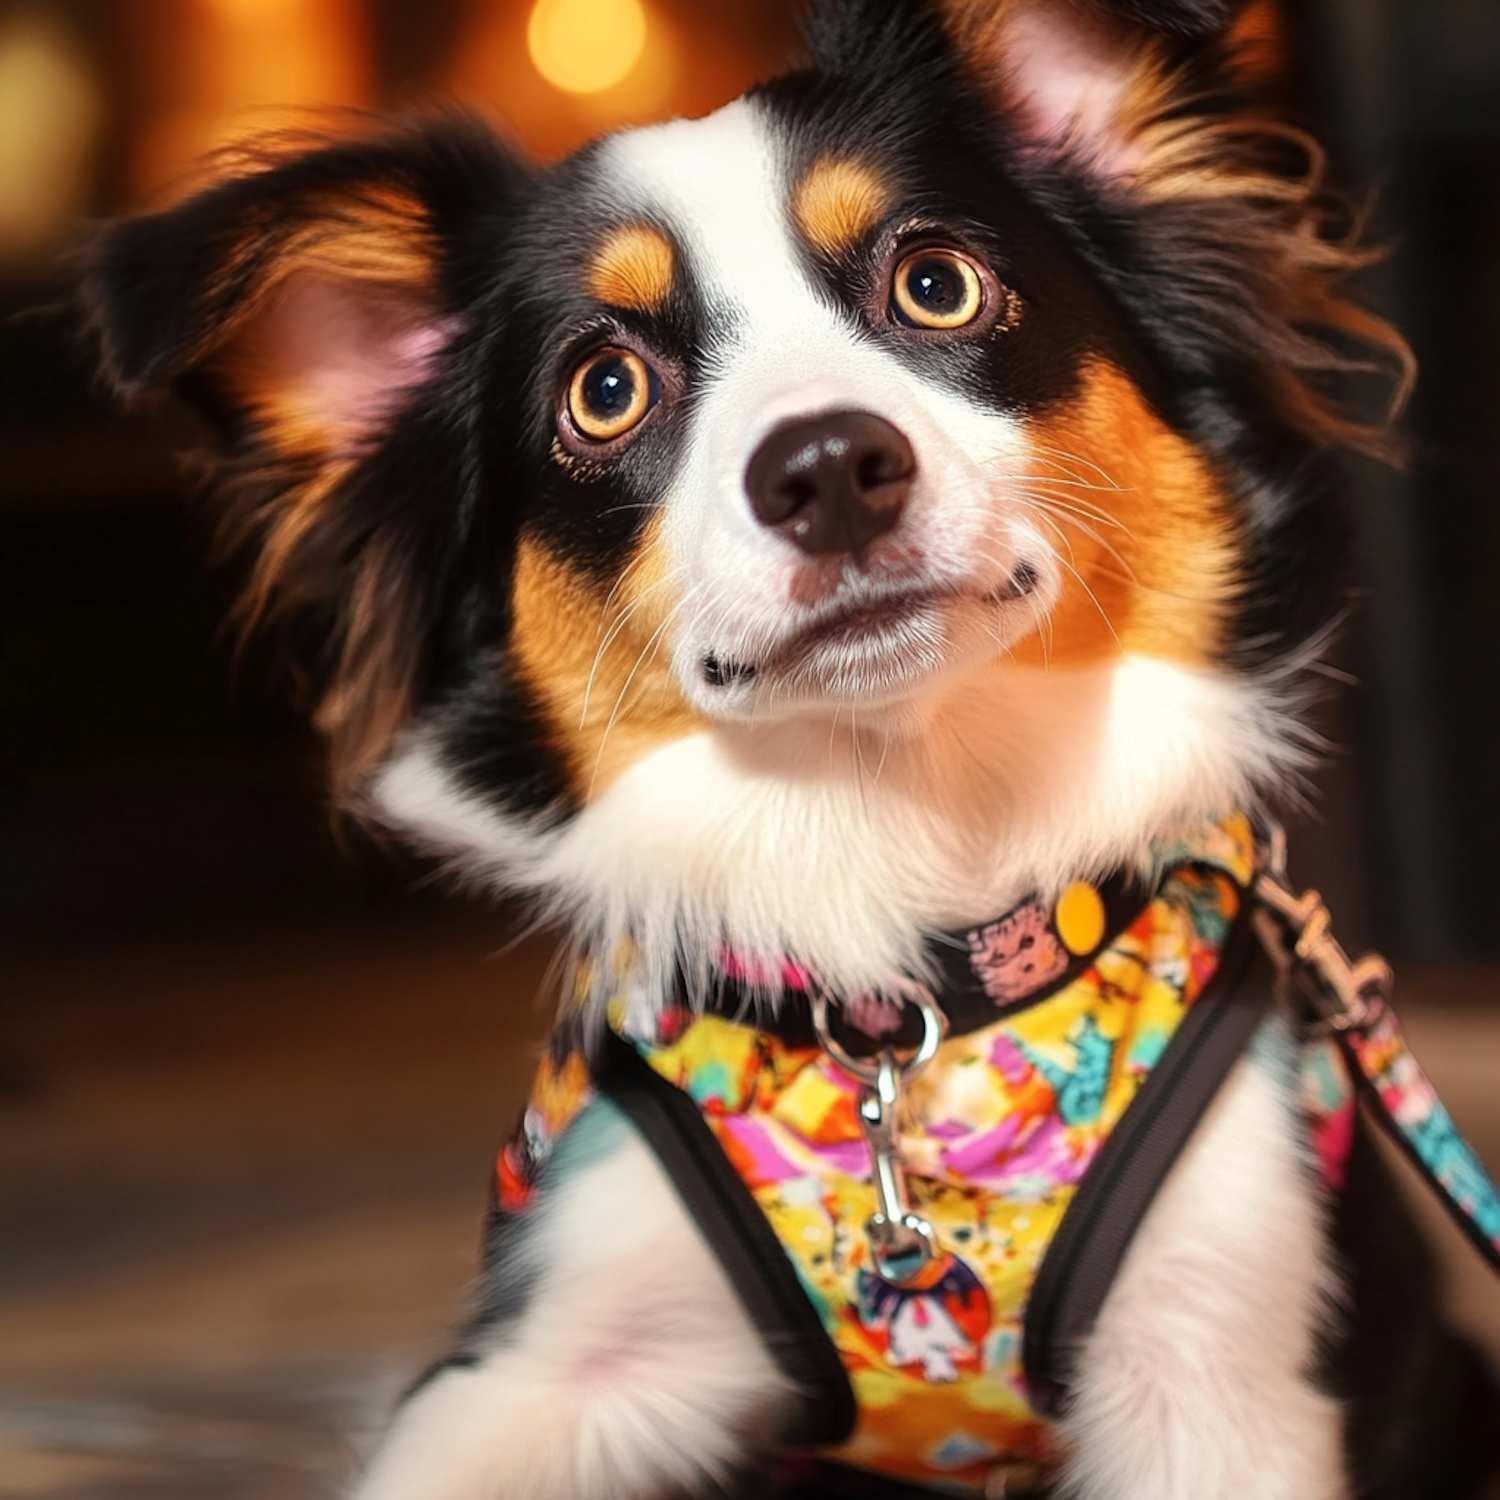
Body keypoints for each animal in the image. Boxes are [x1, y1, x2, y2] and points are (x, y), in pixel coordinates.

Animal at [82, 2, 1500, 1500]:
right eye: (603, 387)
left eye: (936, 283)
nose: (826, 466)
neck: (902, 982)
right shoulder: (536, 1359)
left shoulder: (1224, 1370)